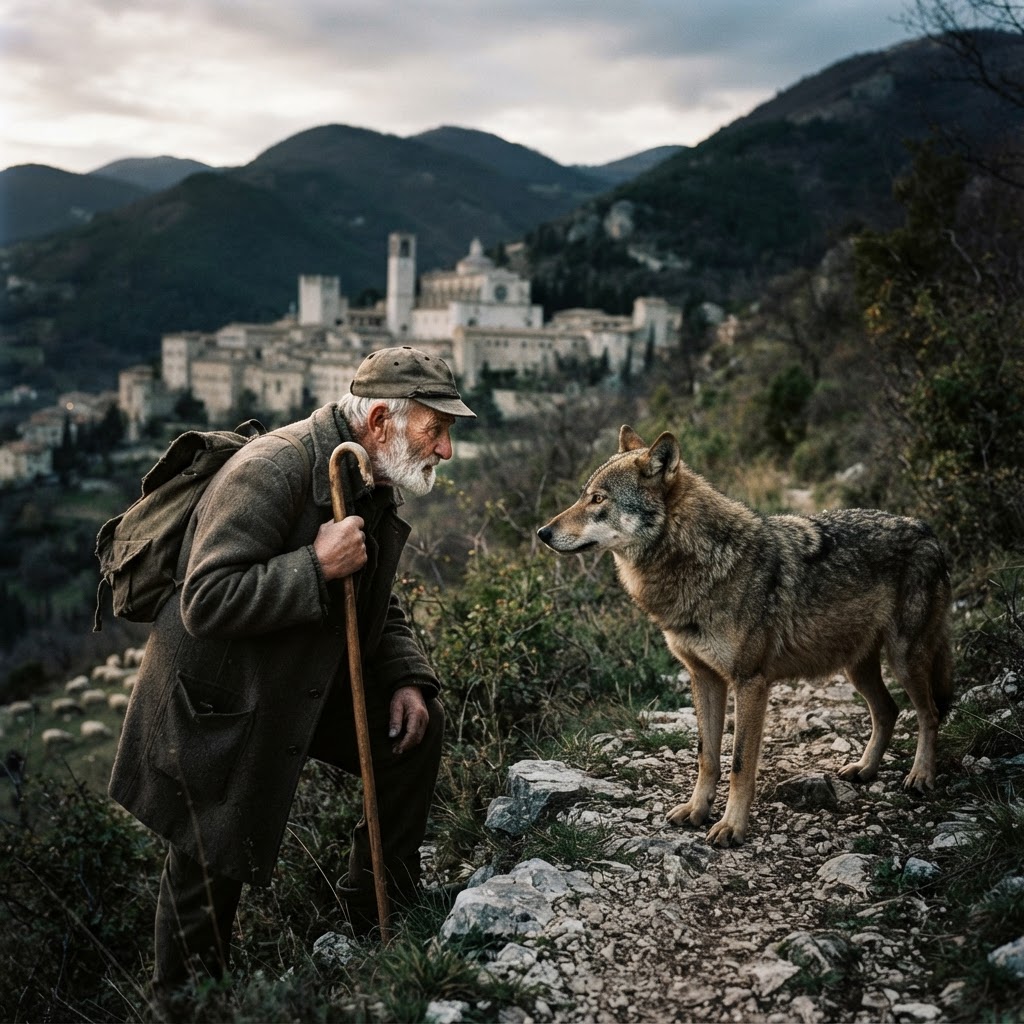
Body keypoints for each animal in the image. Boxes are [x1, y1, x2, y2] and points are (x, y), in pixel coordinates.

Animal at [537, 426, 954, 847]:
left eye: (598, 499)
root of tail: (928, 530)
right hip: (856, 668)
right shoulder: (704, 678)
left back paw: (921, 776)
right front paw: (696, 810)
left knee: (929, 713)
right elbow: (707, 756)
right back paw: (865, 769)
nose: (542, 532)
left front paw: (731, 826)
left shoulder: (750, 683)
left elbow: (739, 764)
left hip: (904, 659)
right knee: (889, 710)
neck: (700, 564)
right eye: (582, 494)